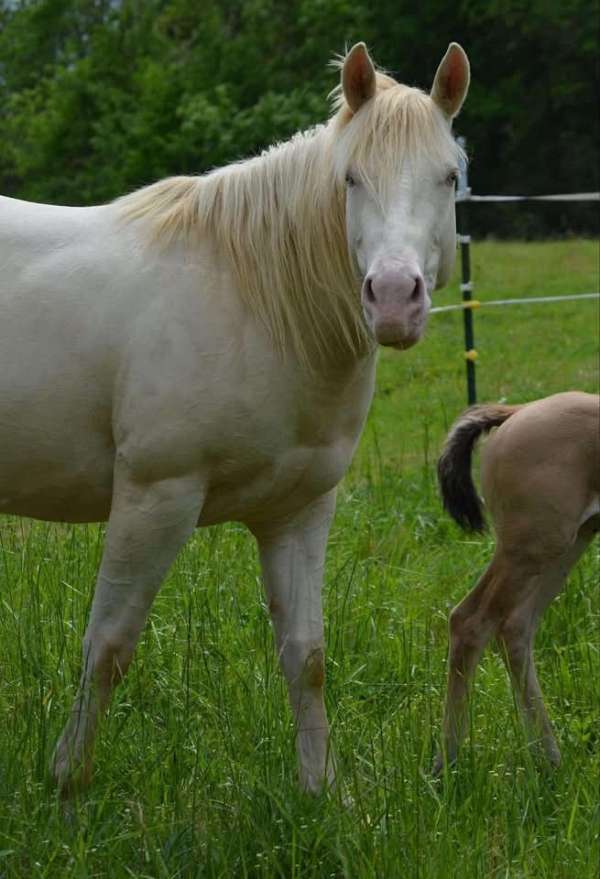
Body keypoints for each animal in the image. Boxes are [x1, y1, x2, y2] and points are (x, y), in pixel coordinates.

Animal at [0, 43, 468, 796]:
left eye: (450, 177)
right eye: (350, 178)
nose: (395, 298)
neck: (256, 300)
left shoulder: (298, 512)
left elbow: (306, 655)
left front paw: (321, 791)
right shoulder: (155, 499)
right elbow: (107, 648)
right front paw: (68, 782)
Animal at [434, 396, 596, 772]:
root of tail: (516, 411)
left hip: (567, 542)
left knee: (515, 627)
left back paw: (550, 759)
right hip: (532, 547)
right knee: (470, 621)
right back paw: (446, 762)